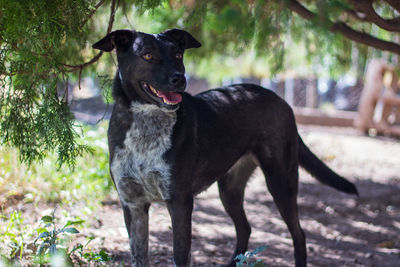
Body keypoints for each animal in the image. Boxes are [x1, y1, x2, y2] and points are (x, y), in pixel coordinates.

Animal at [93, 28, 356, 266]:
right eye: (147, 55)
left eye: (178, 54)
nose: (180, 79)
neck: (145, 123)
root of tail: (281, 100)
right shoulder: (133, 204)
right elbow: (139, 255)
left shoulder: (179, 202)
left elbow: (180, 255)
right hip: (230, 188)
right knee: (245, 228)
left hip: (281, 181)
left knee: (298, 234)